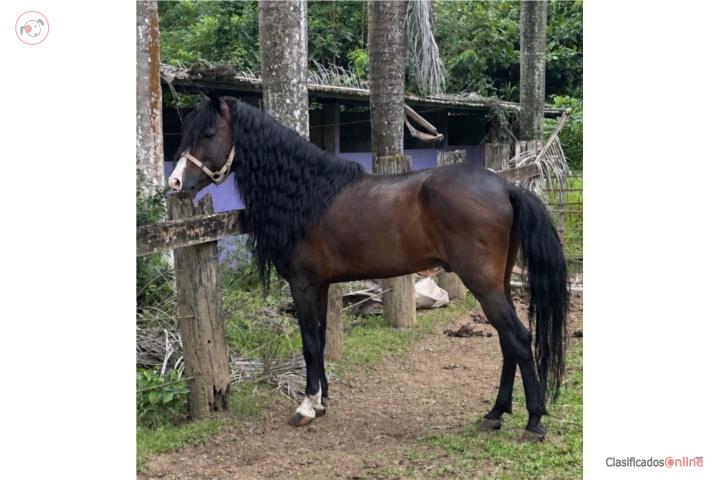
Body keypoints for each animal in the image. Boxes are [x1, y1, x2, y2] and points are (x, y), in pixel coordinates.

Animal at [168, 95, 568, 440]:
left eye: (208, 133)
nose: (175, 183)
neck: (306, 194)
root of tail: (505, 187)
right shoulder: (322, 285)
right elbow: (321, 339)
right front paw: (322, 402)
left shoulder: (302, 284)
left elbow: (309, 343)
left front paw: (306, 407)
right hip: (497, 283)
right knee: (507, 341)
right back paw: (495, 414)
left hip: (483, 284)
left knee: (518, 338)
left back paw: (533, 421)